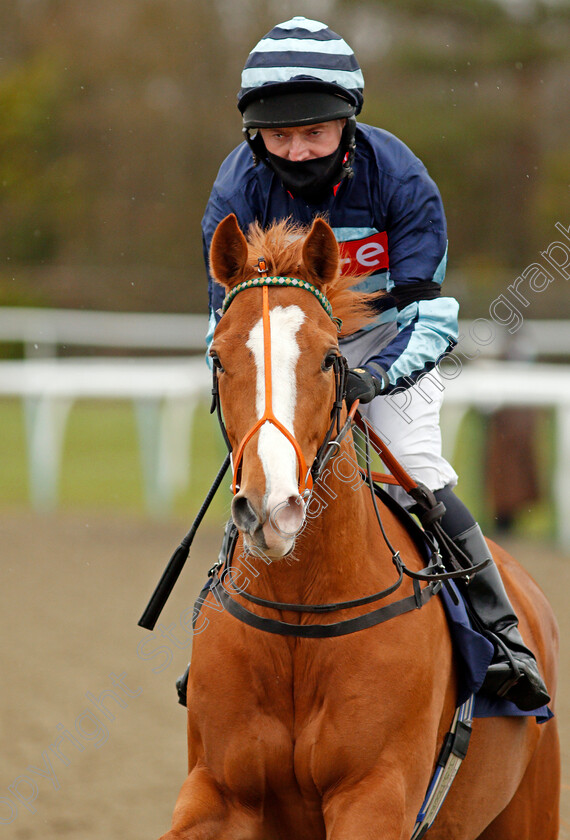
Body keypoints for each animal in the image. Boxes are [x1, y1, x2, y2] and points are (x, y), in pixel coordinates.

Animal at [158, 217, 556, 840]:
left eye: (329, 358)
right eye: (217, 357)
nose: (272, 508)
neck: (298, 616)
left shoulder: (373, 793)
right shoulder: (219, 789)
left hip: (532, 807)